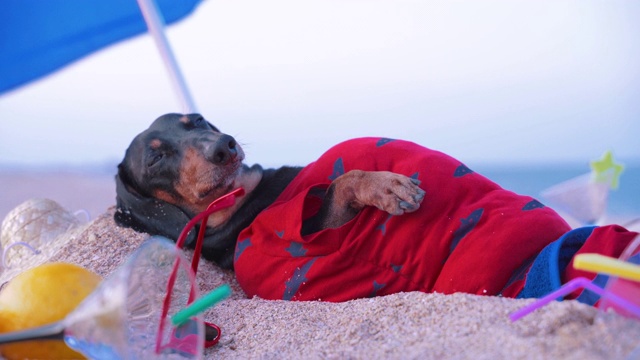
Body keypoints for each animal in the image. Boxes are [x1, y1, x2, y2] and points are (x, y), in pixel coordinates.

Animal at [115, 114, 424, 268]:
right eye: (156, 158)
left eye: (197, 120)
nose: (224, 146)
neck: (242, 195)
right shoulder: (313, 233)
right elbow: (341, 184)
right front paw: (384, 185)